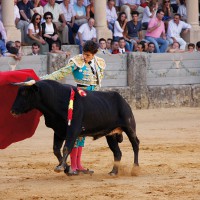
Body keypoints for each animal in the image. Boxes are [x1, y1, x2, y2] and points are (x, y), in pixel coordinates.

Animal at [10, 80, 139, 175]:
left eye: (25, 94)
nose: (12, 110)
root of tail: (122, 100)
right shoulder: (58, 131)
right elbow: (56, 149)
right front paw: (67, 169)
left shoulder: (73, 130)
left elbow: (67, 147)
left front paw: (61, 167)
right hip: (110, 134)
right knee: (117, 152)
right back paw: (113, 172)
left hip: (129, 127)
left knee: (135, 144)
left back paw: (135, 169)